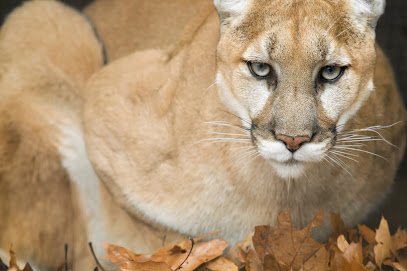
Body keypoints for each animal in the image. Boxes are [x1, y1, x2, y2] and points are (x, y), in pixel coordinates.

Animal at [0, 0, 406, 270]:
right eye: (261, 69)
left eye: (330, 72)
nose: (293, 140)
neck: (283, 198)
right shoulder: (105, 97)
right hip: (46, 17)